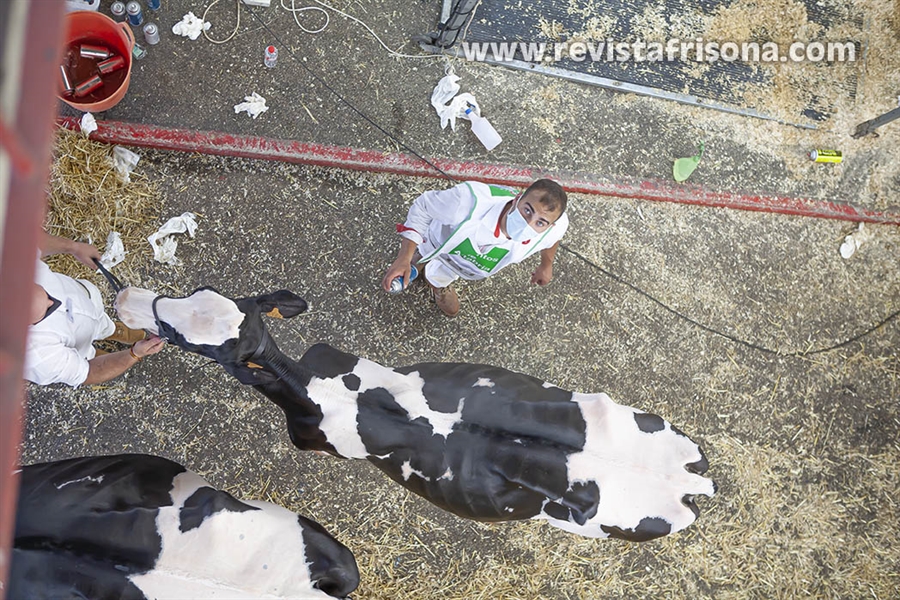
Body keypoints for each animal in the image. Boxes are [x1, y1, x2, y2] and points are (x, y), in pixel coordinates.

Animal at [116, 288, 712, 544]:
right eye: (196, 289)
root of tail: (694, 486)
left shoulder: (311, 438)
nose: (128, 297)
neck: (315, 385)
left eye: (184, 342)